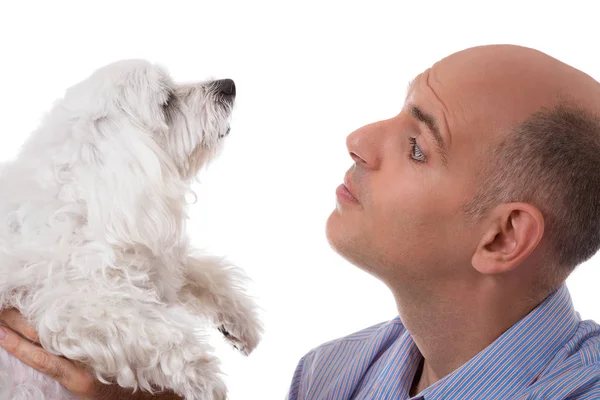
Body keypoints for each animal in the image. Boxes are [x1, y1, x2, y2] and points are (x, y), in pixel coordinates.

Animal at [0, 59, 262, 400]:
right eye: (166, 102)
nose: (229, 85)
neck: (89, 196)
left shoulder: (152, 257)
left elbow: (203, 272)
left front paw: (240, 319)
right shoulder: (68, 302)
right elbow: (150, 329)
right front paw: (203, 378)